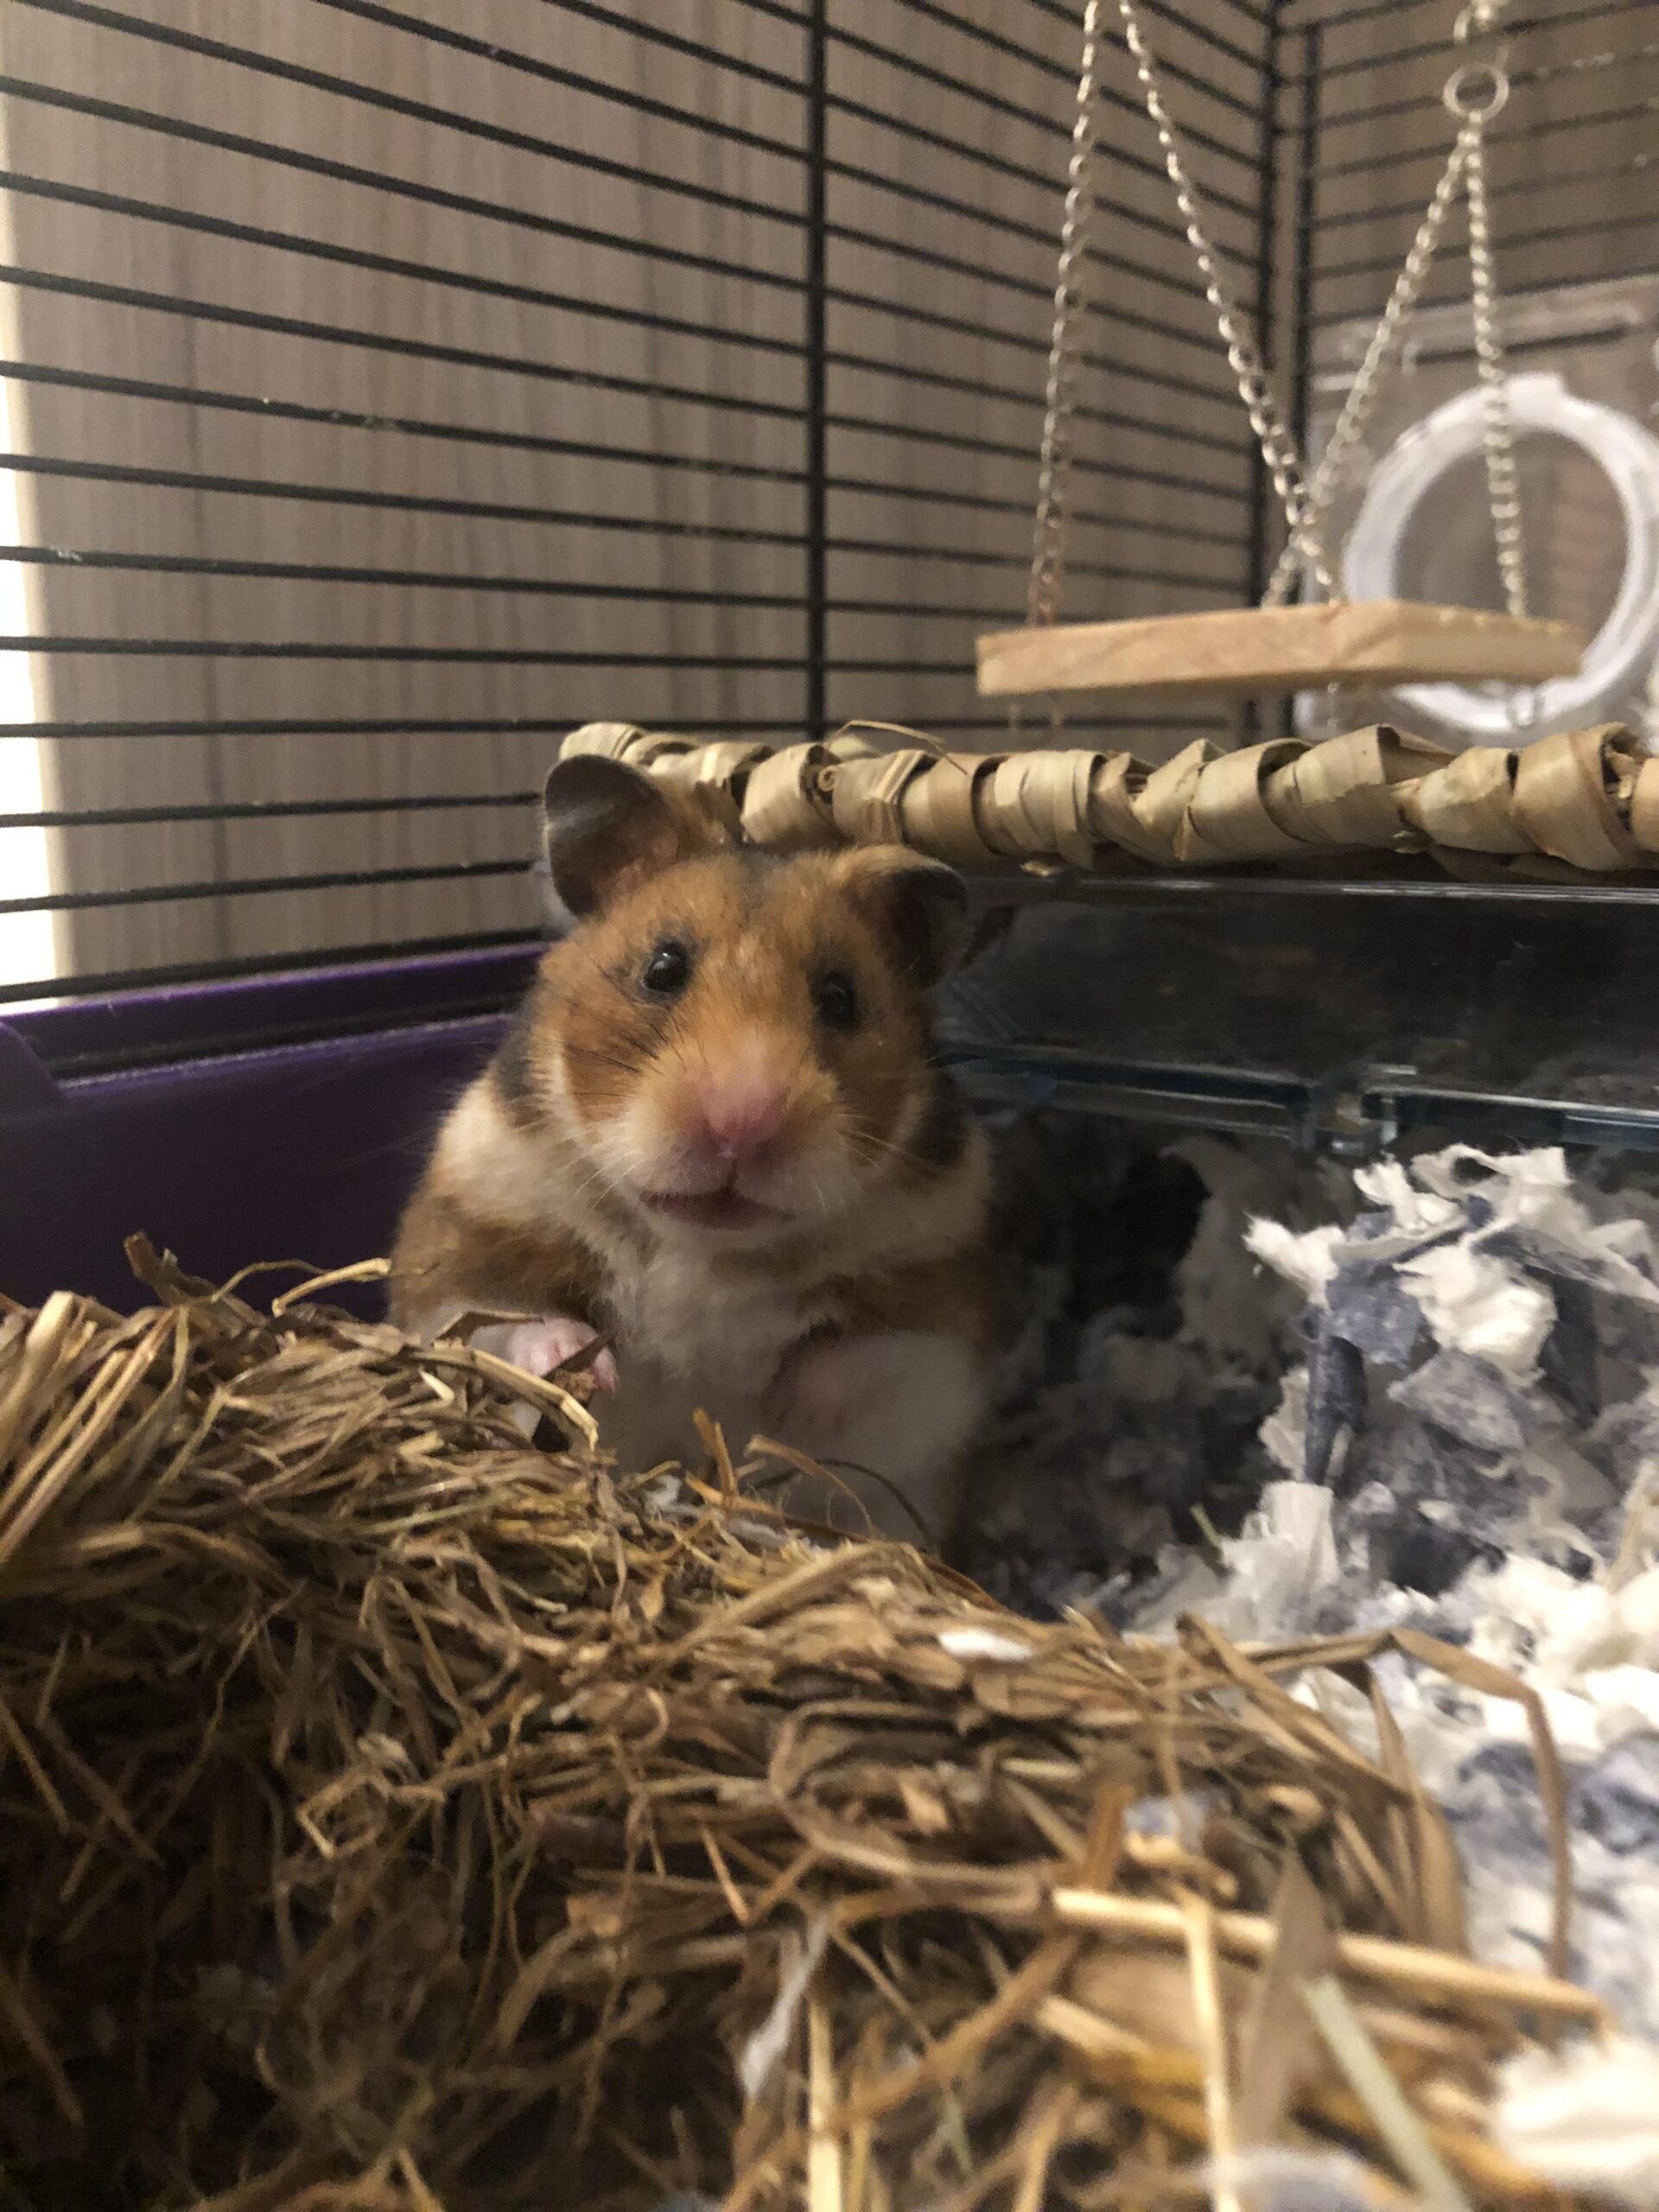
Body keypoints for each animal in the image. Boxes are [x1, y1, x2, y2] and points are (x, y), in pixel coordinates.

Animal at [389, 752, 991, 1546]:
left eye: (840, 998)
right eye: (663, 968)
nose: (742, 1125)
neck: (704, 1251)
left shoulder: (946, 1311)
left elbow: (867, 1357)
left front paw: (783, 1410)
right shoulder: (460, 1247)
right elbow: (501, 1326)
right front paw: (593, 1369)